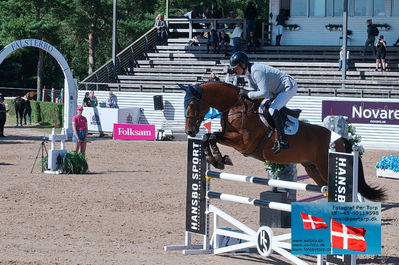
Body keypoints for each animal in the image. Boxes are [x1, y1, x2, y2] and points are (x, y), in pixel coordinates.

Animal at [182, 80, 388, 200]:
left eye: (192, 103)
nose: (189, 131)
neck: (236, 106)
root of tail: (340, 139)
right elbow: (208, 137)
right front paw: (216, 160)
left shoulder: (244, 143)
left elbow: (211, 136)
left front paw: (219, 159)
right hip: (312, 169)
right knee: (326, 188)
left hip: (325, 166)